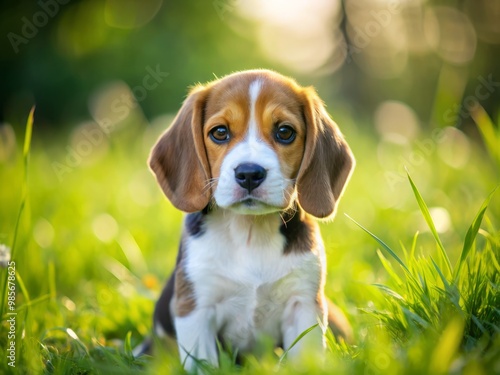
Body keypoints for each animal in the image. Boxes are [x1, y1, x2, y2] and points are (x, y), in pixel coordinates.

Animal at [148, 69, 356, 372]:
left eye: (285, 132)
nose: (248, 173)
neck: (249, 232)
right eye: (220, 132)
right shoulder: (196, 309)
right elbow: (205, 365)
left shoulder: (304, 305)